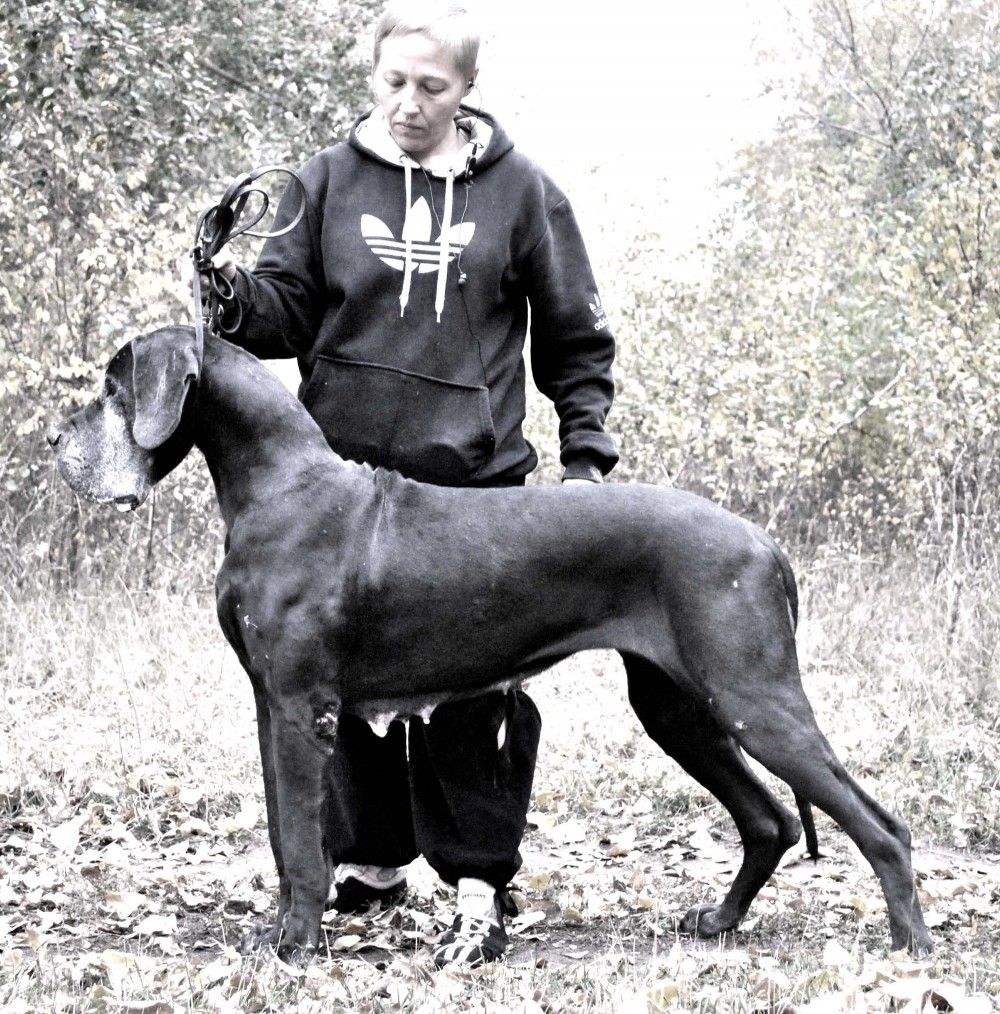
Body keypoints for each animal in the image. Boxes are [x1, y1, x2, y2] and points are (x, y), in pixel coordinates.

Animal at [47, 324, 932, 961]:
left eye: (113, 386)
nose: (57, 444)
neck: (281, 484)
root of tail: (764, 540)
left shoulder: (301, 707)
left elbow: (299, 838)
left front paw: (293, 945)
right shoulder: (271, 705)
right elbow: (279, 827)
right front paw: (285, 927)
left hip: (756, 699)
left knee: (879, 824)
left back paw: (910, 944)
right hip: (679, 708)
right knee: (770, 820)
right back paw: (719, 921)